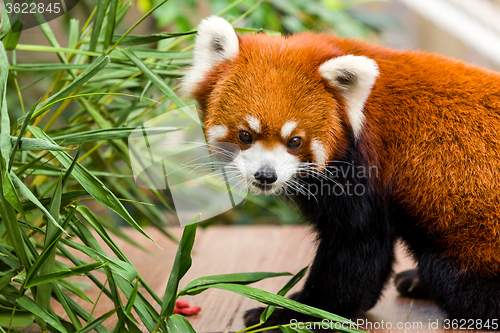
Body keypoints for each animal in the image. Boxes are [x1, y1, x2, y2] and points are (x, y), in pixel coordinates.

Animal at [182, 15, 500, 326]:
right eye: (245, 135)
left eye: (295, 141)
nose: (266, 175)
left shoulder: (363, 169)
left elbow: (356, 249)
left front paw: (295, 311)